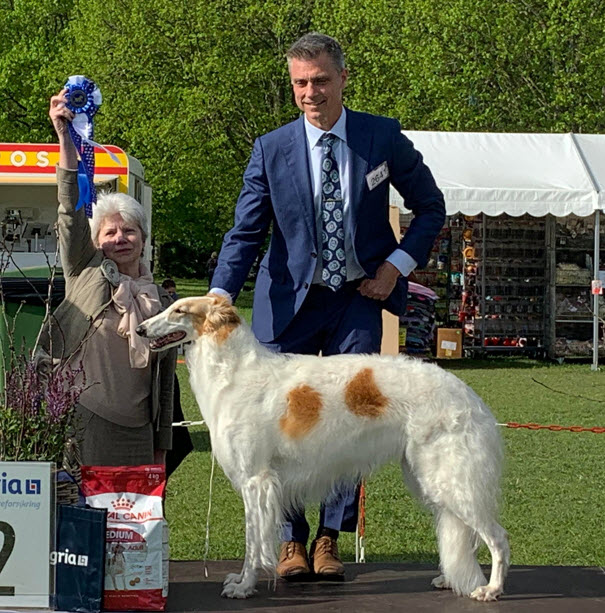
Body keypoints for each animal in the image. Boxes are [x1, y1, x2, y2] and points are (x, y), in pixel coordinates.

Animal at [136, 294, 504, 600]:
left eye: (179, 311)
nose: (140, 329)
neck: (234, 371)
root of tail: (469, 397)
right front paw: (244, 581)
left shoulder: (256, 481)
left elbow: (253, 544)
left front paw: (244, 586)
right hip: (430, 476)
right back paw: (450, 580)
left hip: (448, 477)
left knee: (498, 537)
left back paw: (491, 589)